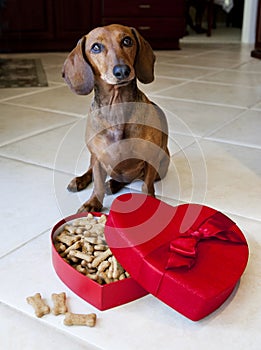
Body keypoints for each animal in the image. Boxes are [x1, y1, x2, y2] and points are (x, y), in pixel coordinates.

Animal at [62, 24, 169, 212]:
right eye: (96, 47)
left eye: (127, 41)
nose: (122, 71)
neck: (117, 107)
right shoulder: (98, 158)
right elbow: (97, 183)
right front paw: (92, 203)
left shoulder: (150, 158)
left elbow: (146, 186)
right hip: (93, 157)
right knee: (90, 171)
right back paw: (80, 180)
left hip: (162, 165)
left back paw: (112, 184)